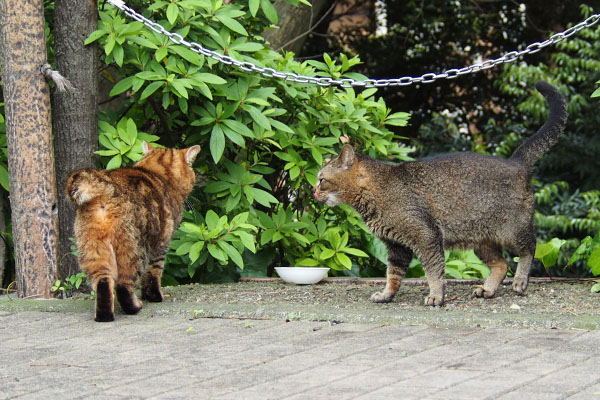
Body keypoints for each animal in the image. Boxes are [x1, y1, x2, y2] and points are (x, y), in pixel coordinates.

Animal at [66, 142, 199, 320]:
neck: (158, 174)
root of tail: (105, 188)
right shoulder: (161, 246)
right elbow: (154, 274)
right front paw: (153, 296)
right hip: (132, 249)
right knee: (123, 286)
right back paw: (135, 307)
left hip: (93, 250)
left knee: (103, 283)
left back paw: (104, 316)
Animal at [314, 81, 568, 306]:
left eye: (321, 180)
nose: (313, 191)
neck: (377, 190)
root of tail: (516, 162)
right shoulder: (397, 247)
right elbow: (393, 275)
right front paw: (387, 294)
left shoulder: (426, 237)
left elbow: (434, 271)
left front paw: (436, 296)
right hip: (482, 241)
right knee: (502, 264)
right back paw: (487, 289)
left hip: (513, 231)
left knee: (530, 247)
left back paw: (520, 280)